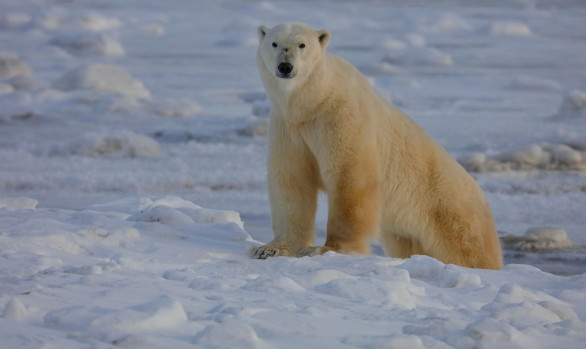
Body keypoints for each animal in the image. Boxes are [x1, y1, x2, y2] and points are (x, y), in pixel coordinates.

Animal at [249, 22, 500, 270]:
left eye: (302, 44)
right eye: (274, 43)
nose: (285, 66)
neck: (312, 102)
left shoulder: (341, 115)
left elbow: (349, 176)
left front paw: (327, 249)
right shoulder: (289, 127)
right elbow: (292, 180)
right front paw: (270, 249)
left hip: (450, 211)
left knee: (468, 250)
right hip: (406, 230)